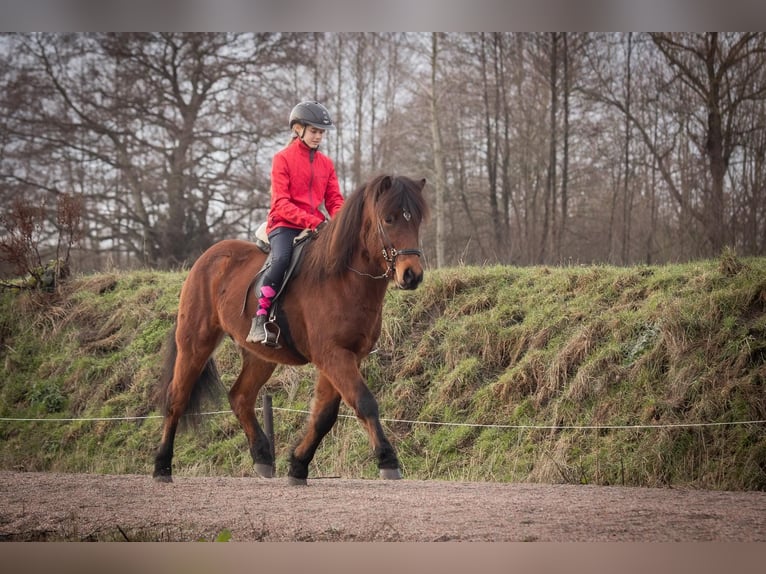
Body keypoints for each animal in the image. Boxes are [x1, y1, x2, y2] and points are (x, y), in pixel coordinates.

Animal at [153, 174, 429, 485]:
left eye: (417, 219)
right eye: (389, 219)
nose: (412, 275)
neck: (341, 279)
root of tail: (208, 257)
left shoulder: (345, 357)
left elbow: (324, 415)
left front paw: (298, 465)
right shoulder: (333, 355)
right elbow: (364, 402)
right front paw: (387, 460)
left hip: (260, 357)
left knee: (240, 398)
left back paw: (262, 457)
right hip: (195, 343)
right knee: (176, 399)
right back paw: (162, 466)